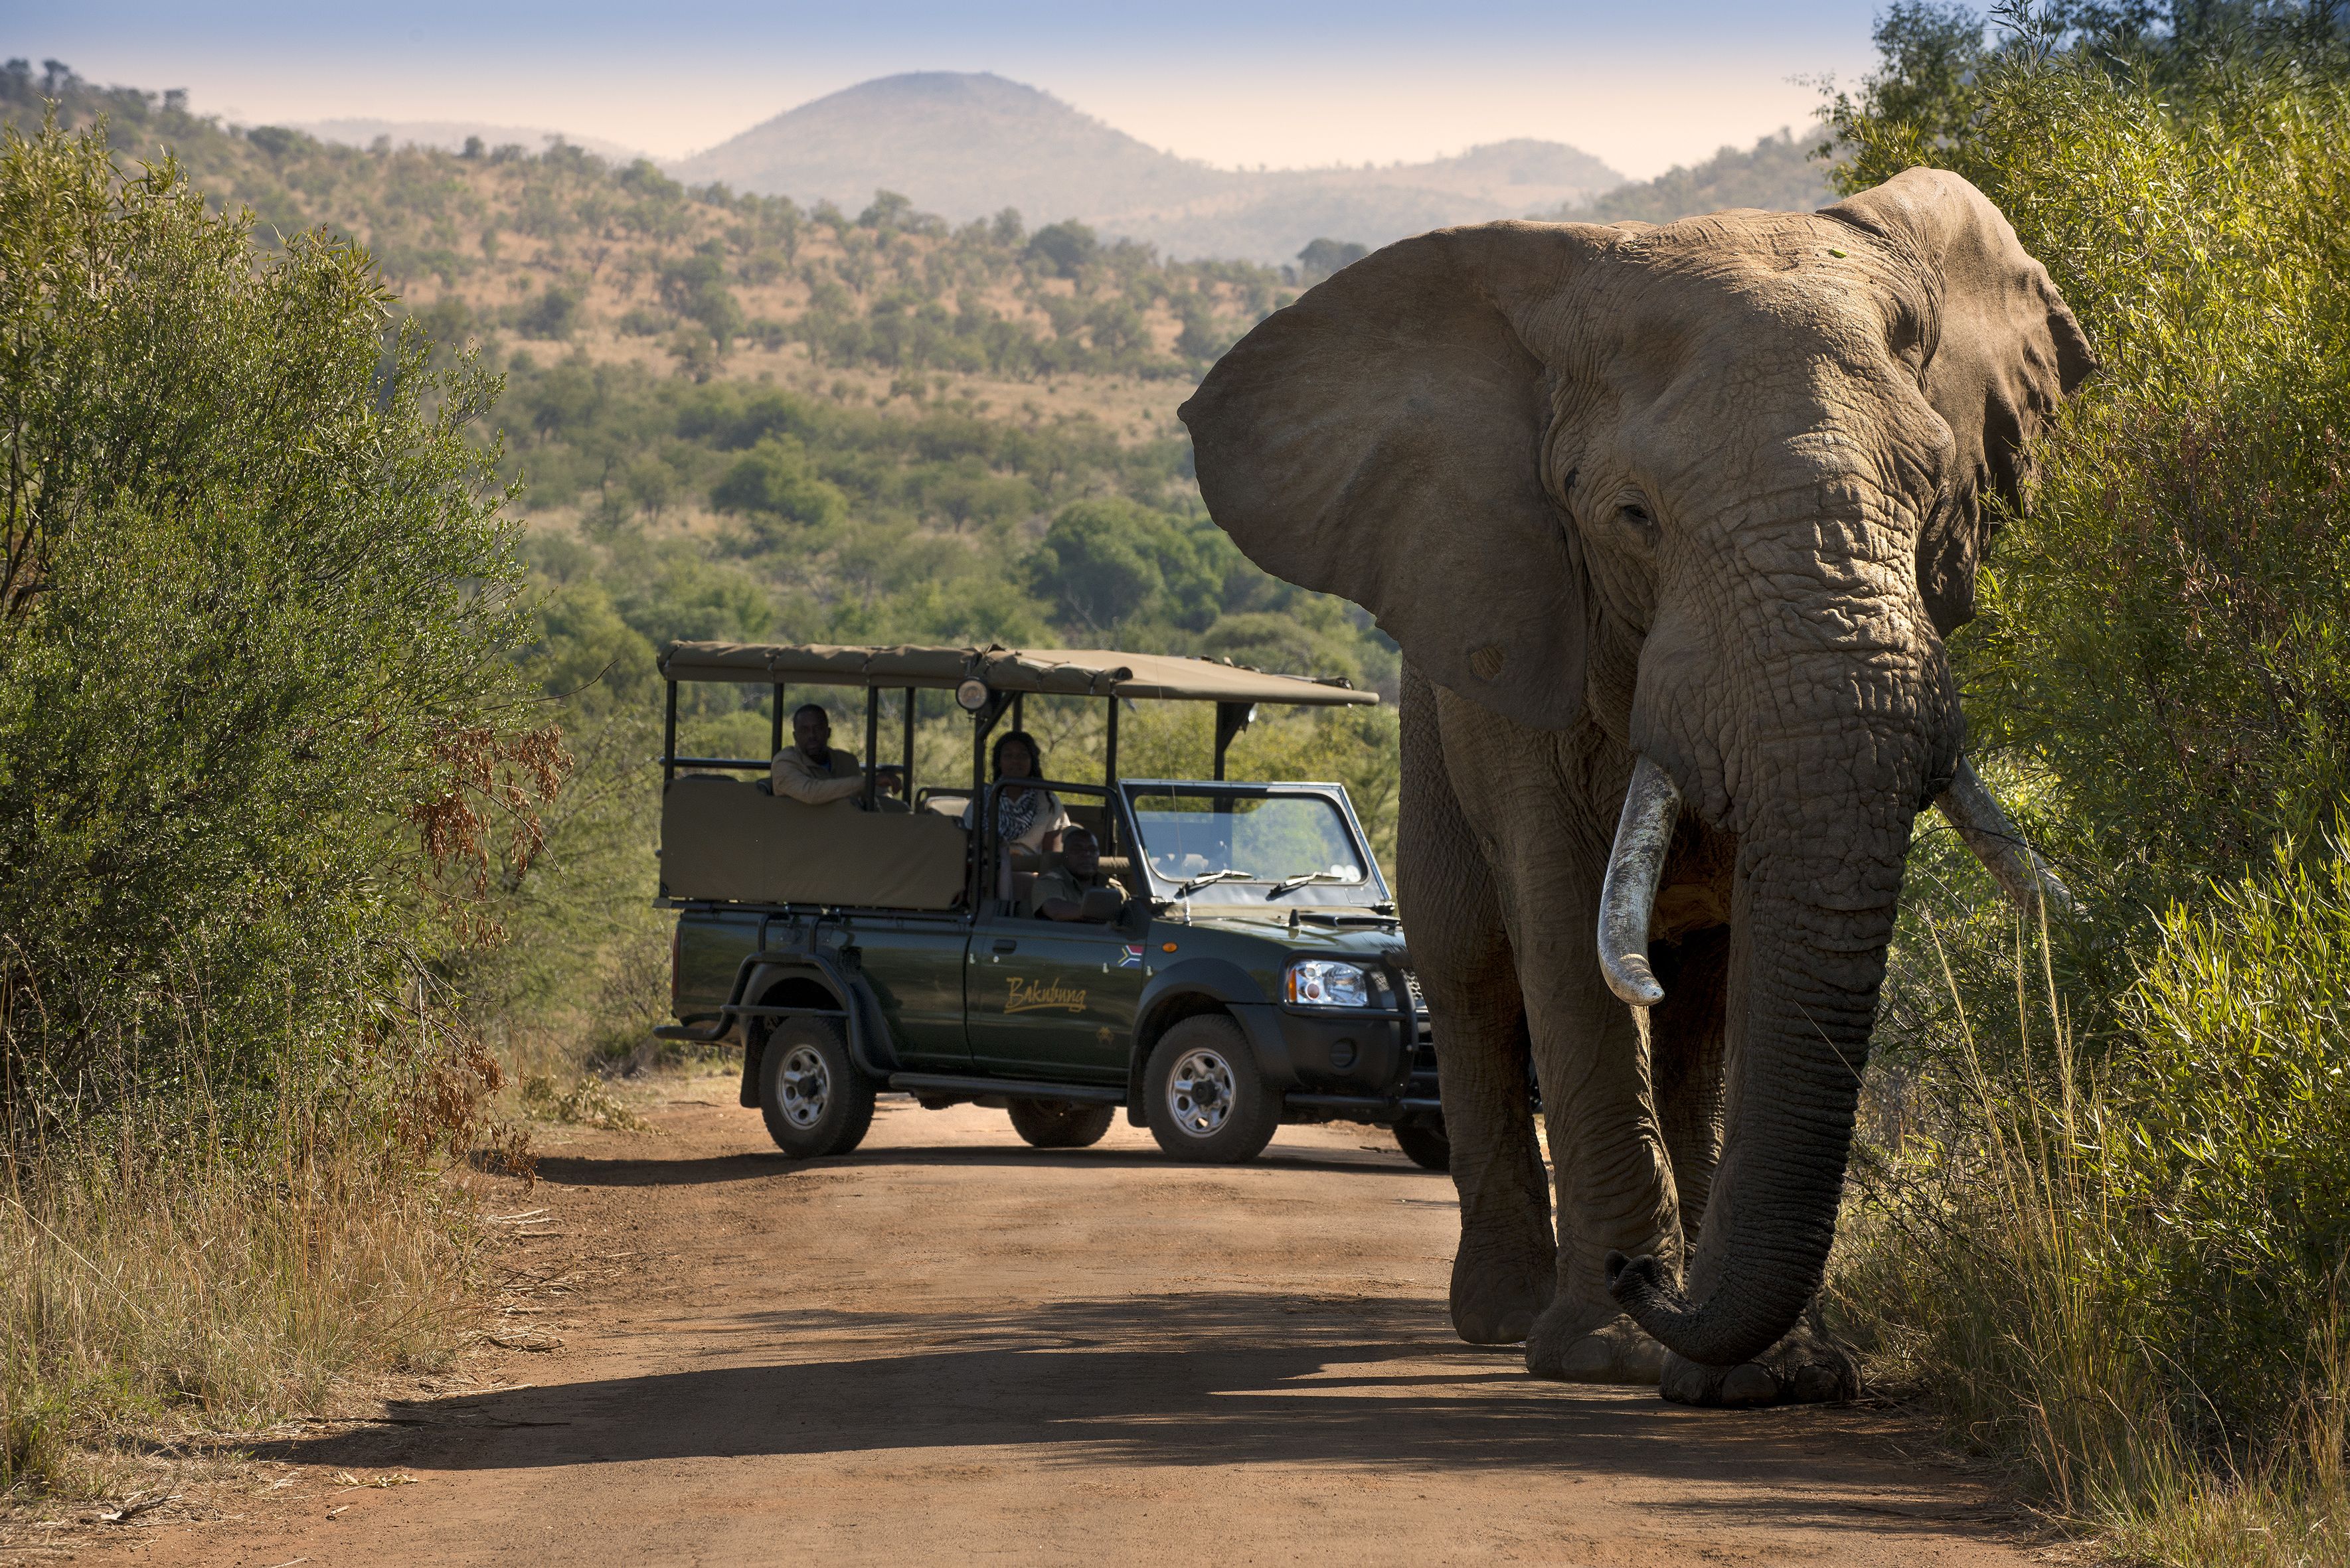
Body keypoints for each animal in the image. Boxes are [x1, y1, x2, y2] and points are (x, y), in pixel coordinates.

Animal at [1178, 168, 2092, 1405]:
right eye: (1631, 519)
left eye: (1926, 496)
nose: (1636, 1277)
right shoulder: (1521, 634)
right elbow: (1565, 938)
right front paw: (1608, 1350)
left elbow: (1750, 965)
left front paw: (1768, 1373)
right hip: (1433, 717)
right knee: (1469, 969)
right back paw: (1502, 1316)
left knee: (1696, 1000)